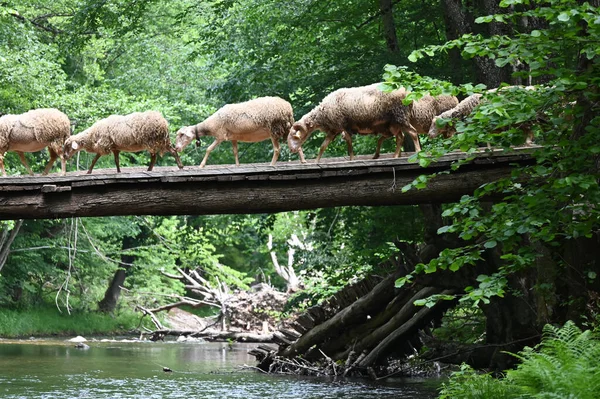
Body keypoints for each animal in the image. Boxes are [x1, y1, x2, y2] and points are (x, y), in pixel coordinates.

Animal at [173, 97, 304, 169]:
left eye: (182, 135)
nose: (176, 148)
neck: (210, 125)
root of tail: (288, 107)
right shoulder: (233, 137)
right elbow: (235, 151)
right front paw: (237, 165)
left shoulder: (220, 136)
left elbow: (209, 149)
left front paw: (201, 165)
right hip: (285, 128)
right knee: (296, 143)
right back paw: (303, 161)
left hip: (274, 128)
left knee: (277, 149)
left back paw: (271, 165)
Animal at [288, 83, 418, 162]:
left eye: (296, 137)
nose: (292, 150)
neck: (322, 113)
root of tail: (408, 94)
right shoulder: (335, 129)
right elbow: (323, 146)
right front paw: (316, 161)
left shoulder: (341, 127)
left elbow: (348, 144)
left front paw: (351, 159)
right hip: (395, 123)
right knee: (400, 137)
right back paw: (395, 156)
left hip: (401, 117)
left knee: (413, 133)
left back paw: (417, 152)